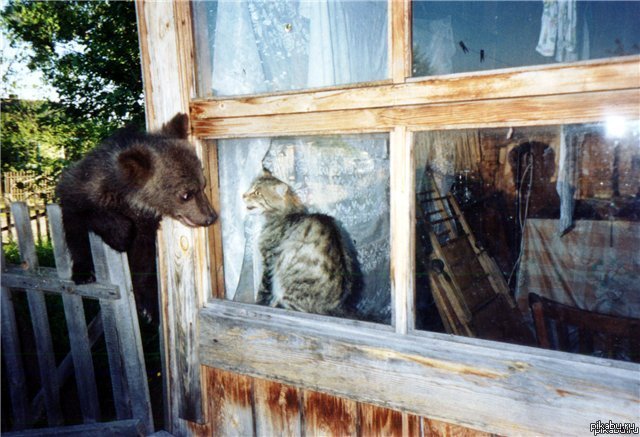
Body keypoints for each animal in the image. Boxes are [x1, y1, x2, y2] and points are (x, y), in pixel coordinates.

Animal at [242, 169, 352, 316]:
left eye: (257, 193)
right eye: (250, 188)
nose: (243, 195)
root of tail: (334, 308)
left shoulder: (269, 259)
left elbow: (263, 289)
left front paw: (259, 304)